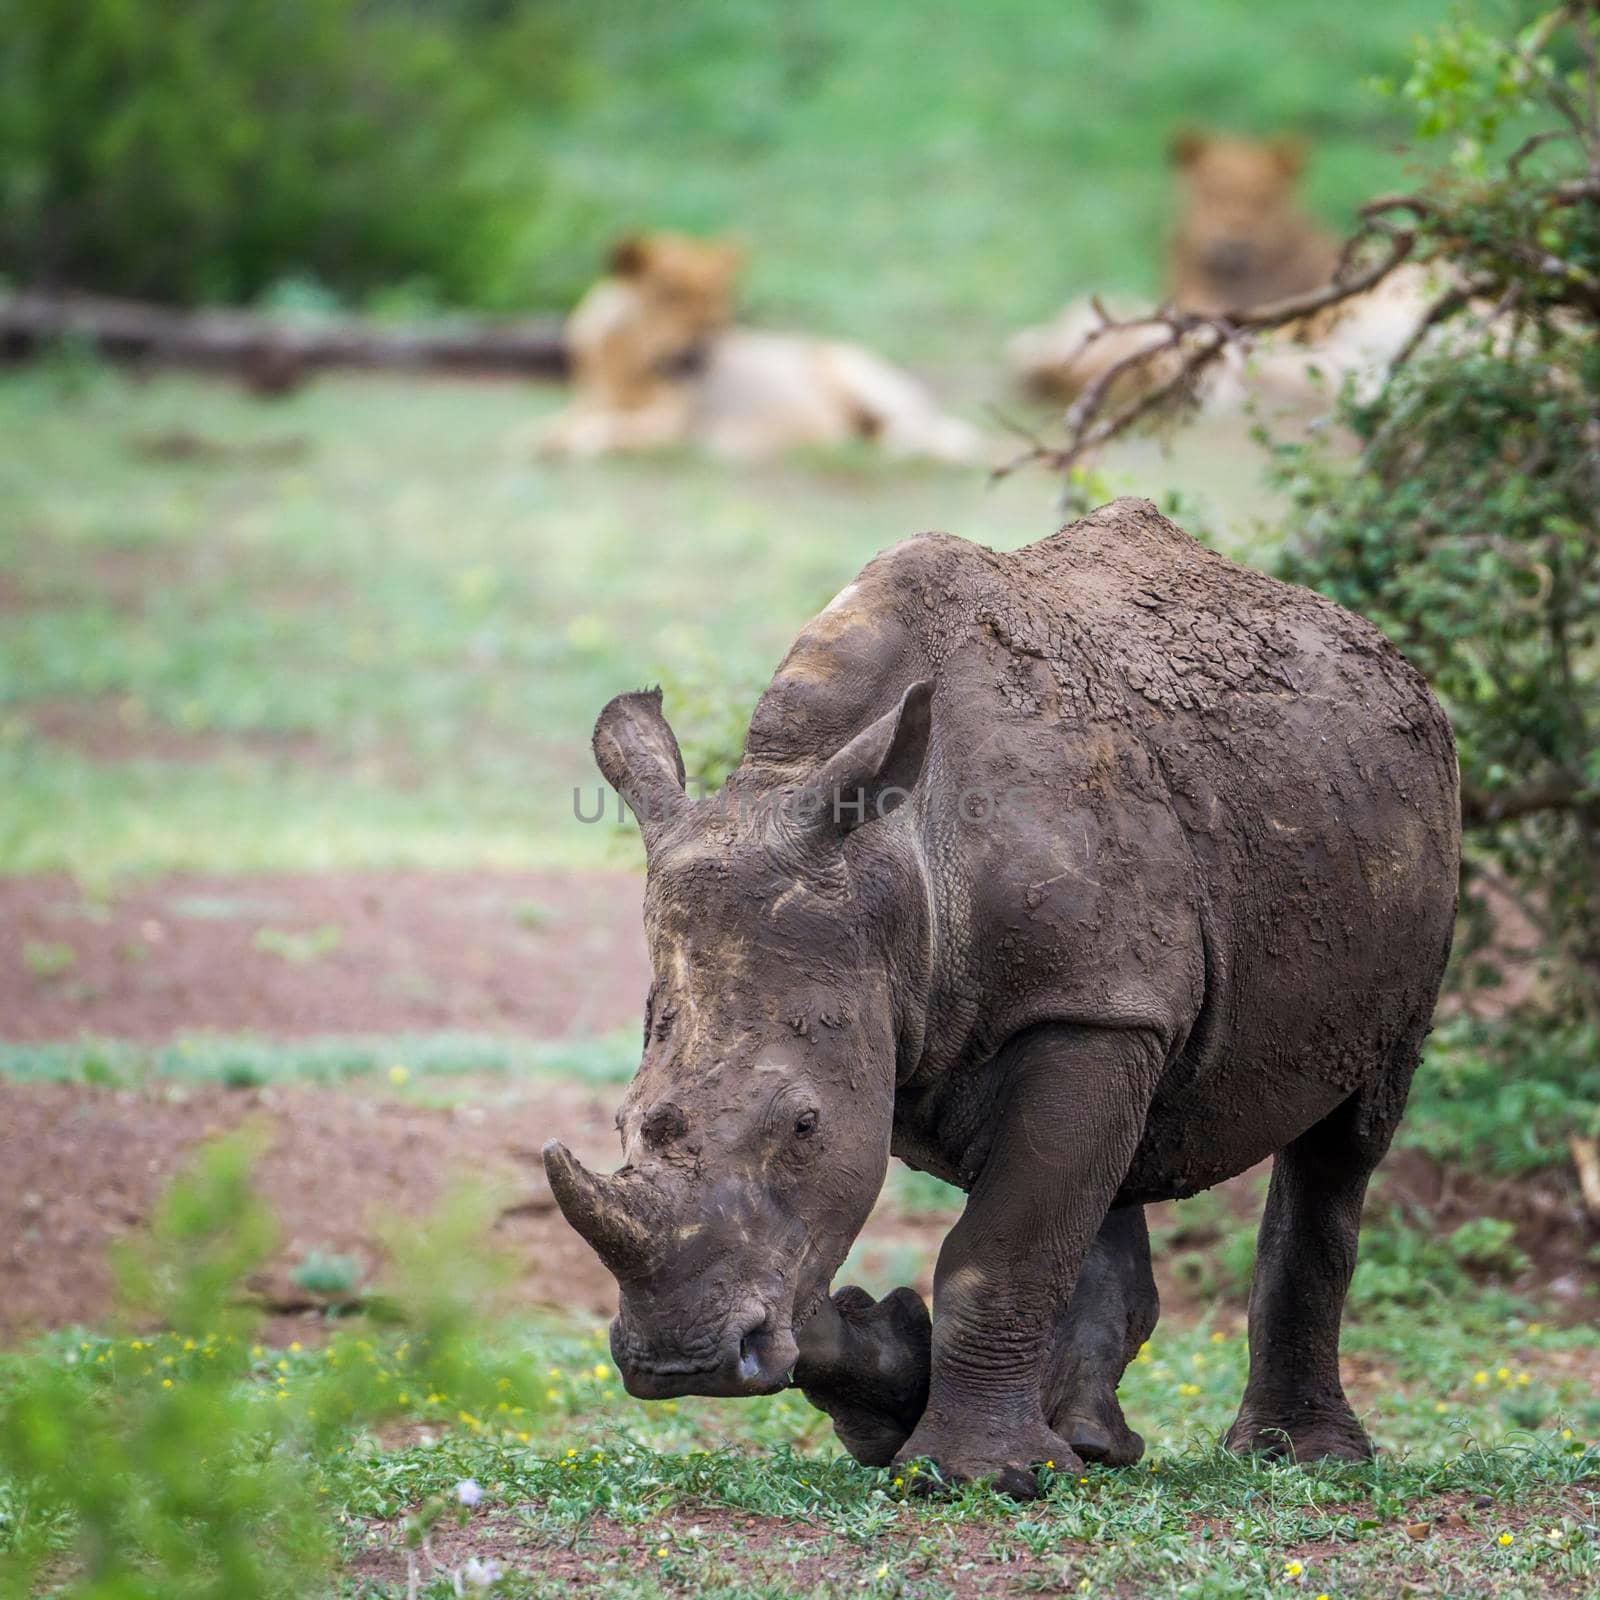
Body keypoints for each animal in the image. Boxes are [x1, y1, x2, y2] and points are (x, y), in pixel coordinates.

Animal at [537, 232, 985, 467]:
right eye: (669, 294)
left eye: (718, 300)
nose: (706, 344)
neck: (628, 364)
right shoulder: (588, 403)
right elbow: (552, 427)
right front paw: (548, 438)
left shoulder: (670, 425)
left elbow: (604, 432)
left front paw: (576, 444)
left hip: (863, 380)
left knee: (934, 437)